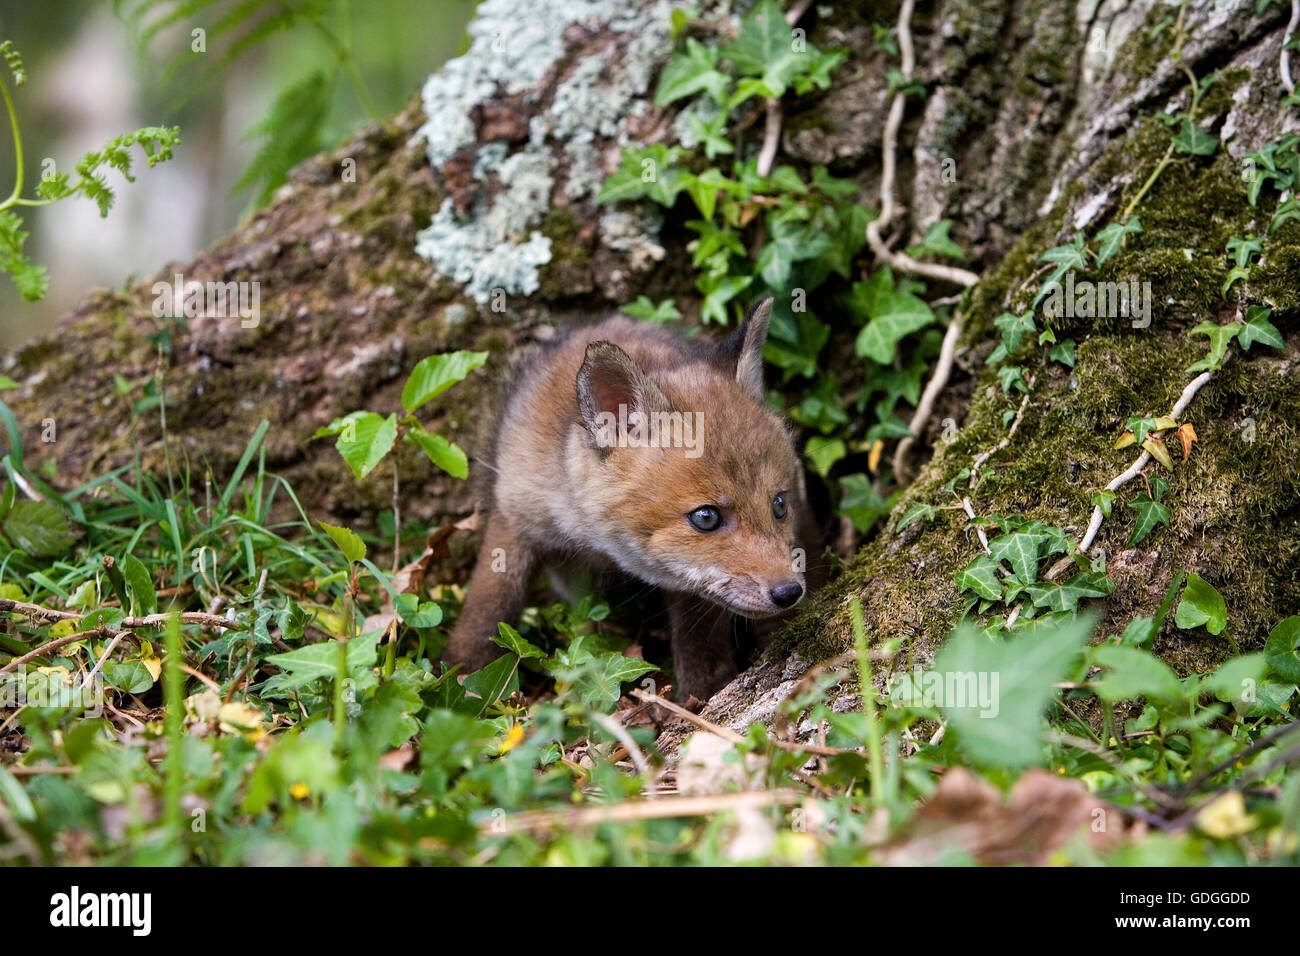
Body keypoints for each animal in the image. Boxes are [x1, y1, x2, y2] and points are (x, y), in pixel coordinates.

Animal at [443, 298, 824, 701]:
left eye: (778, 505)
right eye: (706, 517)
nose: (789, 592)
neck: (585, 530)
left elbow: (697, 638)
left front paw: (699, 695)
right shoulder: (514, 514)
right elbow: (487, 606)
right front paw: (463, 680)